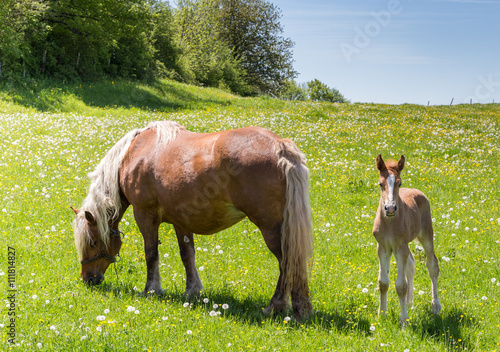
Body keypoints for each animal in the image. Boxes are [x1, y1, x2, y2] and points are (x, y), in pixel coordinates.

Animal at [71, 121, 312, 320]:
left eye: (92, 243)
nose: (88, 279)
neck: (134, 153)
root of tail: (279, 145)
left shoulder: (145, 214)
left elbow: (151, 254)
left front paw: (151, 289)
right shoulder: (181, 221)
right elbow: (187, 255)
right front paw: (192, 291)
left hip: (271, 229)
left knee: (287, 262)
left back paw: (278, 307)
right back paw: (299, 309)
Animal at [374, 155, 440, 326]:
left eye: (399, 183)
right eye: (380, 184)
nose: (390, 208)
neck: (389, 223)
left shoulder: (399, 247)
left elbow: (400, 285)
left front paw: (404, 321)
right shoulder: (383, 247)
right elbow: (383, 283)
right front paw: (381, 315)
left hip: (426, 234)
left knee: (432, 265)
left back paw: (436, 306)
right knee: (411, 263)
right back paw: (409, 302)